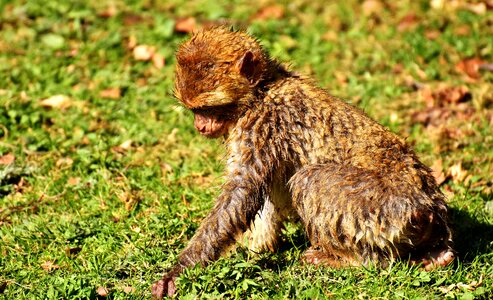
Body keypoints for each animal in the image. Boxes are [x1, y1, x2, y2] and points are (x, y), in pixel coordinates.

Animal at [151, 27, 454, 298]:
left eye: (209, 108)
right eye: (195, 111)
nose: (200, 125)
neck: (262, 90)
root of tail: (432, 209)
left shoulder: (262, 124)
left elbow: (241, 191)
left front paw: (180, 269)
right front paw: (255, 248)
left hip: (388, 208)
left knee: (310, 179)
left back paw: (350, 260)